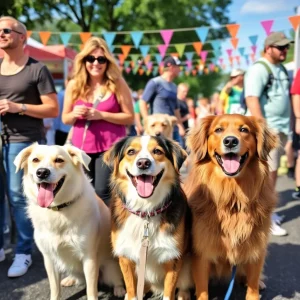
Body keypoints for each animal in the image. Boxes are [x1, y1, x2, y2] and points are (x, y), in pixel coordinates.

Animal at [13, 143, 124, 300]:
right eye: (35, 160)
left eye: (59, 160)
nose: (42, 172)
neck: (58, 209)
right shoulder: (49, 258)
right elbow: (55, 288)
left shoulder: (89, 257)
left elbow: (91, 290)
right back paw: (70, 279)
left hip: (109, 268)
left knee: (116, 279)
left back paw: (119, 289)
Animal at [103, 136, 188, 300]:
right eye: (131, 152)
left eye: (157, 151)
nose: (143, 163)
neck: (146, 210)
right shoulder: (125, 255)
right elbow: (131, 288)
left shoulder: (173, 257)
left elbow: (169, 290)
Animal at [184, 115, 278, 300]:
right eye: (218, 130)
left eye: (244, 130)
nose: (230, 141)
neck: (233, 199)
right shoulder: (201, 252)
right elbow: (202, 289)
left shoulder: (256, 248)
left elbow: (253, 285)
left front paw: (255, 288)